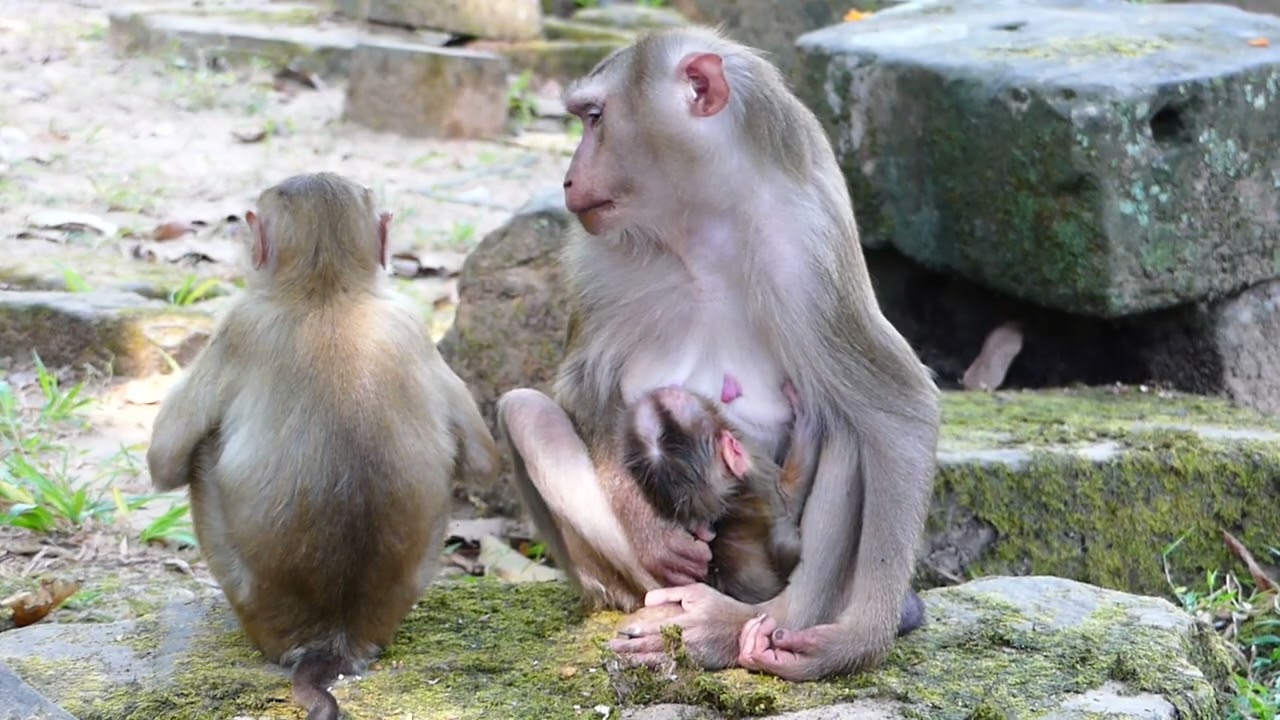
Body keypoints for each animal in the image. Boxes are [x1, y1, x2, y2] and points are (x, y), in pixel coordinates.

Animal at [146, 172, 499, 719]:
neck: (327, 289)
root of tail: (335, 638)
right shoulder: (412, 323)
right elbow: (484, 462)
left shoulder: (239, 324)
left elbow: (164, 463)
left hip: (248, 598)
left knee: (202, 459)